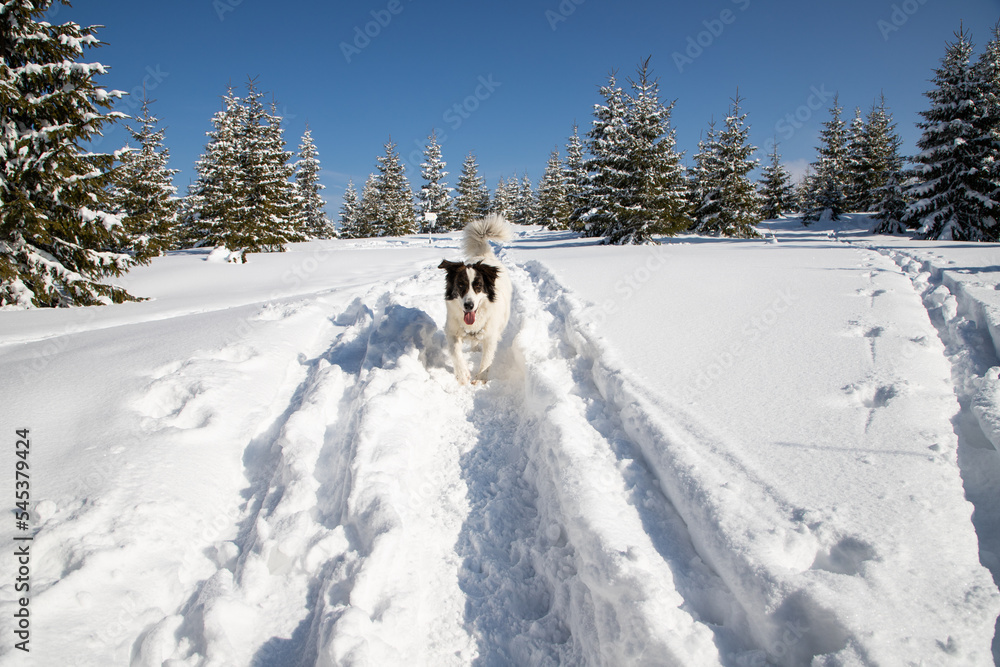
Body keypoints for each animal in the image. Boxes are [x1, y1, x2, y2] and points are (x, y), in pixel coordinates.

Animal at [438, 218, 512, 386]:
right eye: (460, 285)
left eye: (478, 286)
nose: (468, 305)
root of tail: (483, 255)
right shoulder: (451, 330)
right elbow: (456, 353)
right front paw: (462, 374)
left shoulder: (490, 335)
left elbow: (487, 359)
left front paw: (480, 378)